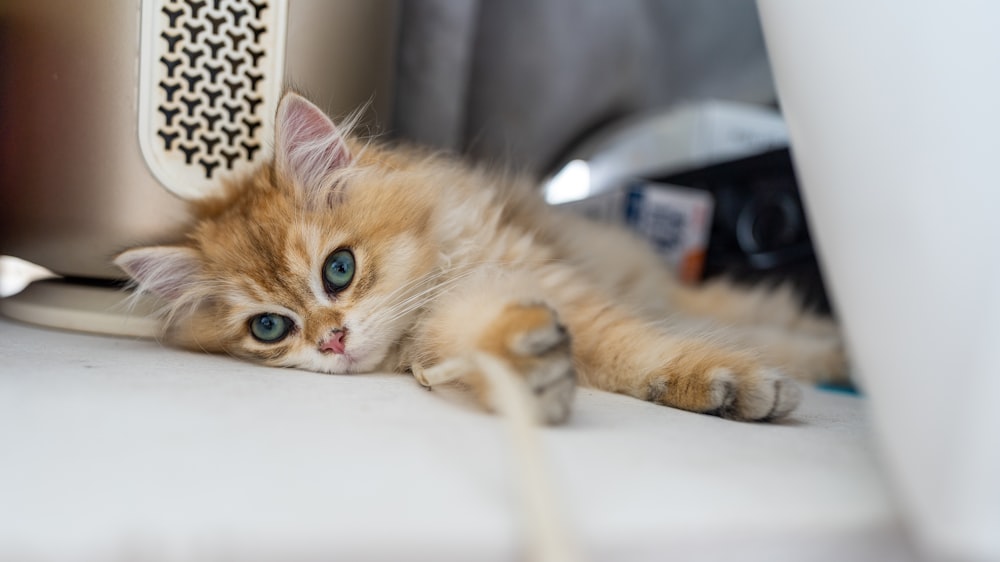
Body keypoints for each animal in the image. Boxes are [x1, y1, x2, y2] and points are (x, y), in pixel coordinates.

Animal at [117, 93, 848, 424]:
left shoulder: (561, 285)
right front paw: (527, 368)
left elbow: (634, 347)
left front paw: (722, 382)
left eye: (338, 270)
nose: (332, 341)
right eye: (270, 327)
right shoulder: (466, 321)